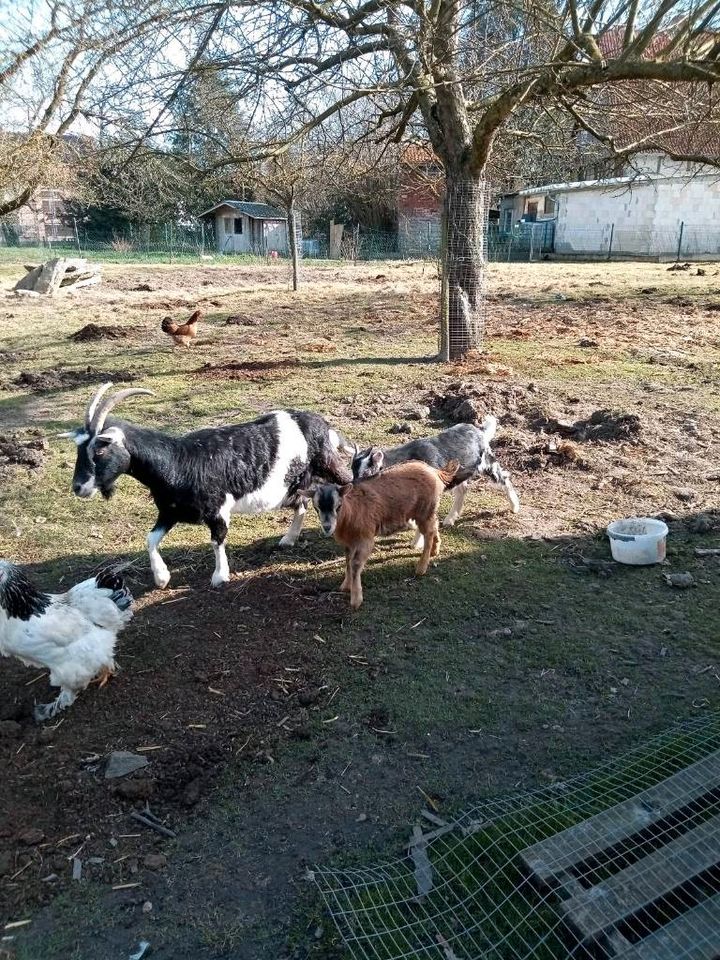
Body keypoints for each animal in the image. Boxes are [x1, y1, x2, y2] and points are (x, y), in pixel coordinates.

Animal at [63, 382, 350, 584]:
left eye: (100, 449)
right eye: (79, 449)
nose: (78, 487)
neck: (177, 462)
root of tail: (322, 424)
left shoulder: (217, 509)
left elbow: (217, 540)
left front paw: (219, 577)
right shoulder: (169, 511)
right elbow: (150, 539)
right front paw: (162, 578)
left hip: (328, 466)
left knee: (346, 483)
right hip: (293, 484)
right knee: (301, 504)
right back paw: (288, 539)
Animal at [308, 458, 456, 608]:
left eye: (338, 506)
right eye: (316, 507)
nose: (327, 527)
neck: (351, 512)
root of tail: (435, 471)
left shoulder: (365, 539)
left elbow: (355, 564)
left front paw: (356, 600)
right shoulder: (349, 543)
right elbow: (348, 561)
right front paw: (345, 586)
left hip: (424, 510)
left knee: (429, 532)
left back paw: (421, 568)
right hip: (429, 511)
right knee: (434, 524)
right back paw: (435, 550)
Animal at [352, 414, 516, 532]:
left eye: (367, 472)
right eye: (353, 471)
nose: (354, 488)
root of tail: (480, 431)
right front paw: (412, 525)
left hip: (487, 462)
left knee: (504, 478)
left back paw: (515, 507)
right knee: (462, 490)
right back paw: (449, 520)